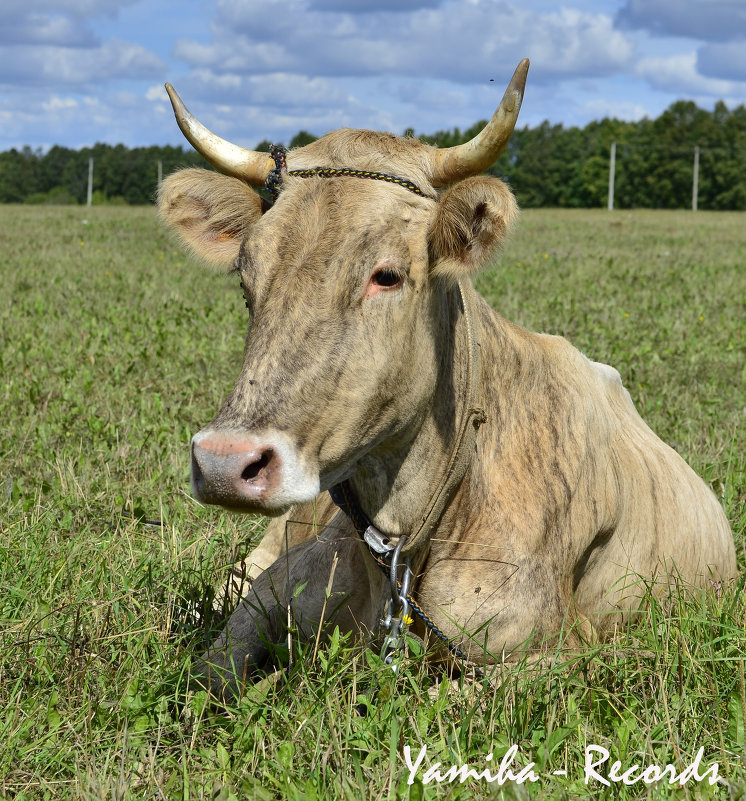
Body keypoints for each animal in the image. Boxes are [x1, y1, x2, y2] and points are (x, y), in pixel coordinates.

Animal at [157, 59, 732, 696]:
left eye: (386, 275)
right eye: (246, 276)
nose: (225, 463)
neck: (404, 545)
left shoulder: (552, 657)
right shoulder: (271, 589)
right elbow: (209, 676)